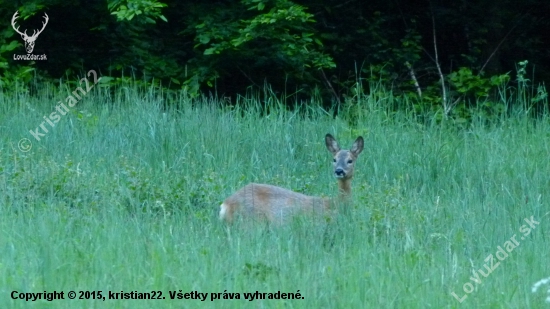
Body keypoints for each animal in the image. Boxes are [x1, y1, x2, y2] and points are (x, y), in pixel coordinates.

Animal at [220, 133, 366, 224]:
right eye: (334, 159)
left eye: (350, 160)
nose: (339, 171)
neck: (336, 204)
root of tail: (225, 204)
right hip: (251, 220)